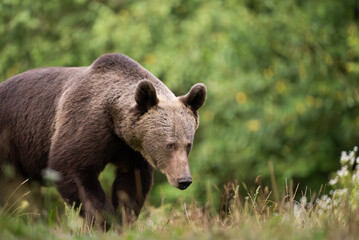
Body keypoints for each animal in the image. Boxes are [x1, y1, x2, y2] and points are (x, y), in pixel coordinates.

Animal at [0, 53, 207, 227]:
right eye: (169, 144)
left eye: (187, 145)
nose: (184, 180)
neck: (115, 120)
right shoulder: (86, 123)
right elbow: (72, 167)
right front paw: (104, 219)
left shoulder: (131, 150)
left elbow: (131, 184)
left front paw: (123, 218)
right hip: (10, 141)